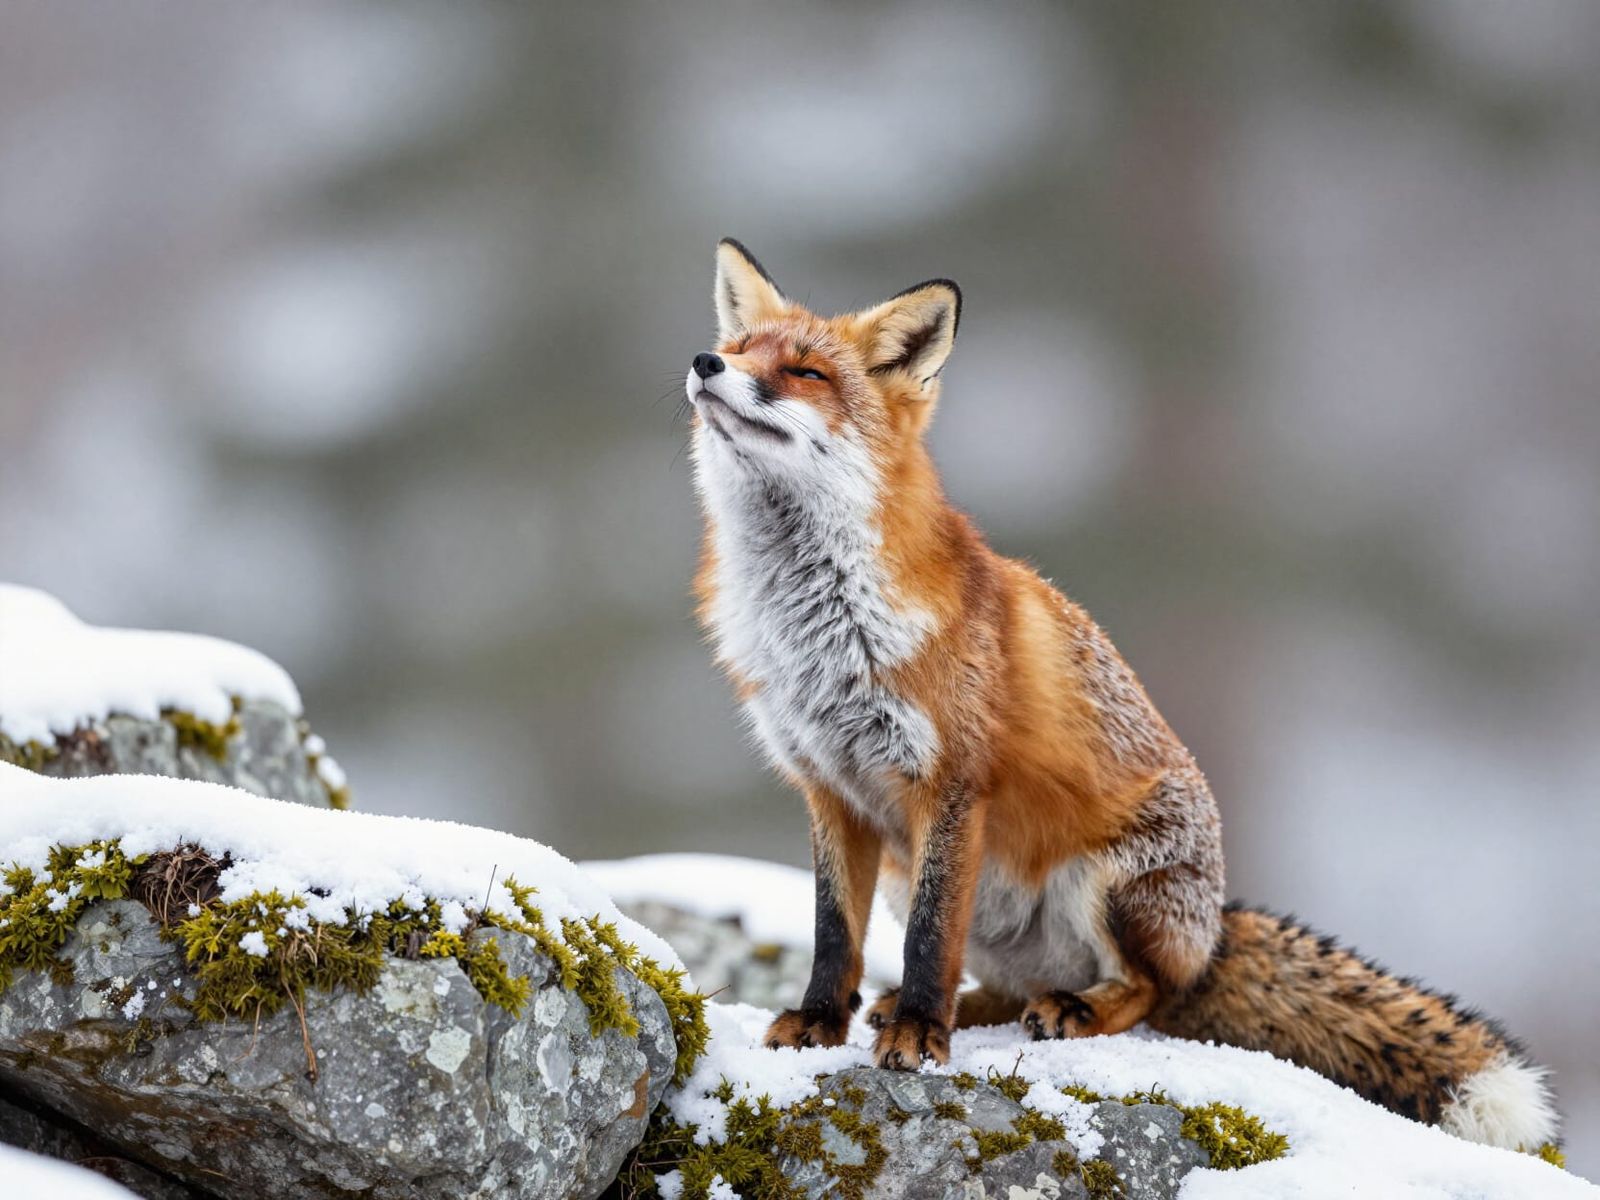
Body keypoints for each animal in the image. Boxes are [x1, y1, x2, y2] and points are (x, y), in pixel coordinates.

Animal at [682, 237, 1560, 1152]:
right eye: (741, 350)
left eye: (805, 372)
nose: (706, 363)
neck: (821, 629)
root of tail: (1212, 930)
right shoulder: (829, 788)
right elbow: (833, 935)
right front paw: (823, 1023)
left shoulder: (950, 784)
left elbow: (929, 939)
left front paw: (920, 1038)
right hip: (920, 876)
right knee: (1001, 983)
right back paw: (968, 1007)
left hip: (1106, 884)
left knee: (1144, 992)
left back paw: (1062, 1008)